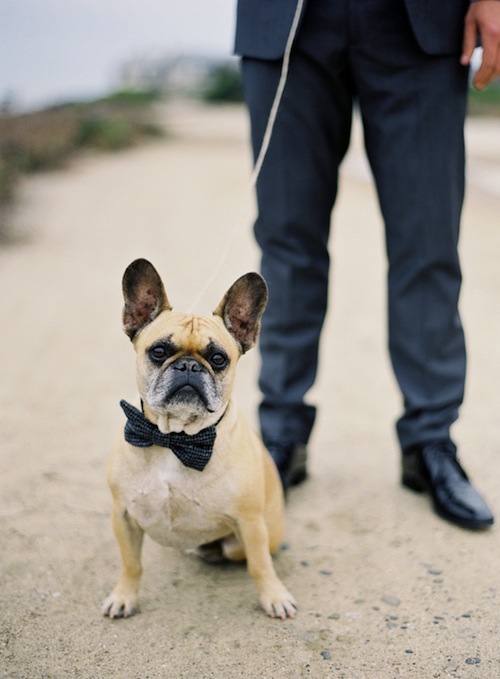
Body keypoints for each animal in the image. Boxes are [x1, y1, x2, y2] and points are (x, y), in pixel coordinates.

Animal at [102, 260, 296, 620]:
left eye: (218, 359)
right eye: (158, 351)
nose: (189, 366)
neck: (175, 438)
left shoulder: (250, 523)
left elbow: (260, 565)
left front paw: (274, 596)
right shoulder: (123, 516)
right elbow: (131, 564)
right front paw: (123, 596)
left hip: (254, 535)